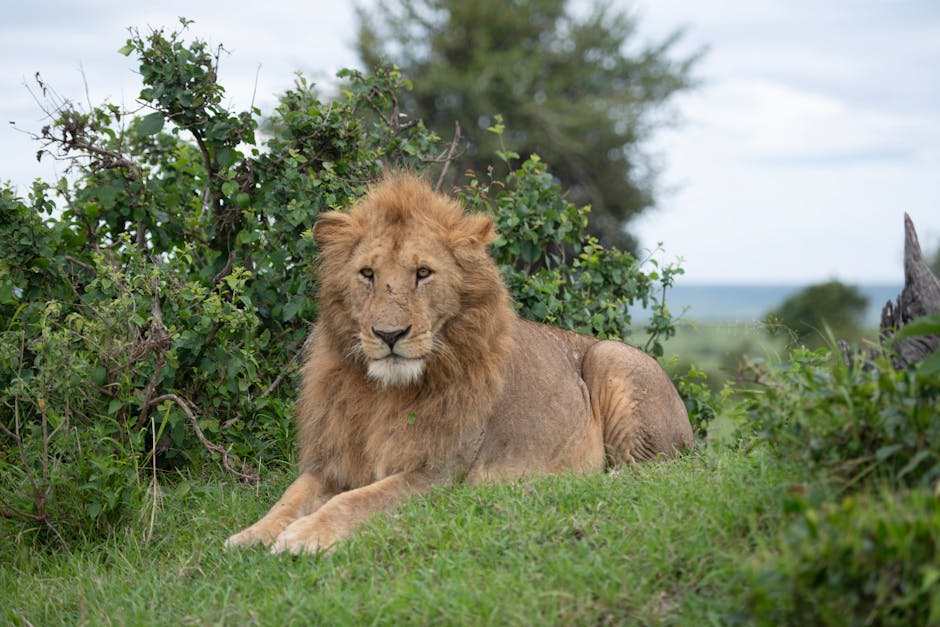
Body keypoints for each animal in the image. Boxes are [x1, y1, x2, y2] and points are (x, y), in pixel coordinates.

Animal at [222, 173, 692, 556]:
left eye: (423, 273)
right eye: (368, 274)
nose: (389, 335)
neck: (381, 392)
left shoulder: (438, 473)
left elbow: (358, 500)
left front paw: (304, 536)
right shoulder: (332, 462)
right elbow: (289, 499)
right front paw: (248, 537)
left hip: (610, 356)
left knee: (649, 472)